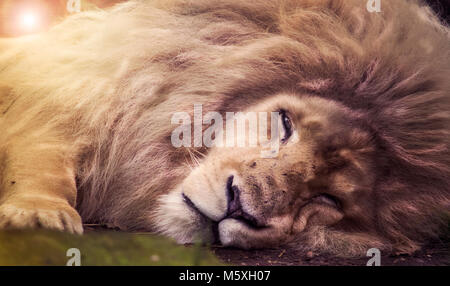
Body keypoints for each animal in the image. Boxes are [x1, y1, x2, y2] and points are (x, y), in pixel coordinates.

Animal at [0, 0, 448, 256]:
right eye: (285, 123)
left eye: (329, 199)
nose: (239, 208)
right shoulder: (67, 97)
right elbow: (42, 158)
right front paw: (39, 213)